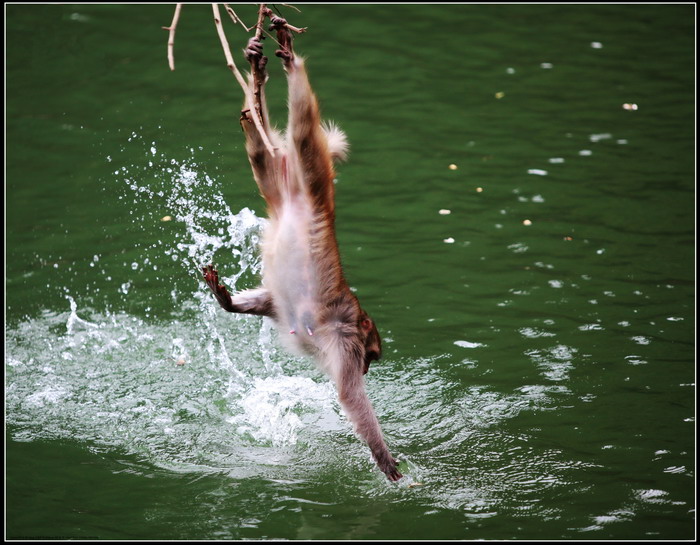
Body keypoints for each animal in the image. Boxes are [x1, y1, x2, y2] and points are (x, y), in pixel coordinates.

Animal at [201, 15, 404, 480]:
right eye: (370, 357)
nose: (369, 367)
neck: (355, 325)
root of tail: (300, 197)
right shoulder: (345, 340)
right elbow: (349, 395)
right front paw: (383, 455)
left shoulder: (299, 319)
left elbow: (272, 304)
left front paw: (227, 301)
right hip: (313, 182)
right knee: (305, 135)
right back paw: (289, 67)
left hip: (282, 182)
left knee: (263, 155)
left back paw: (253, 93)